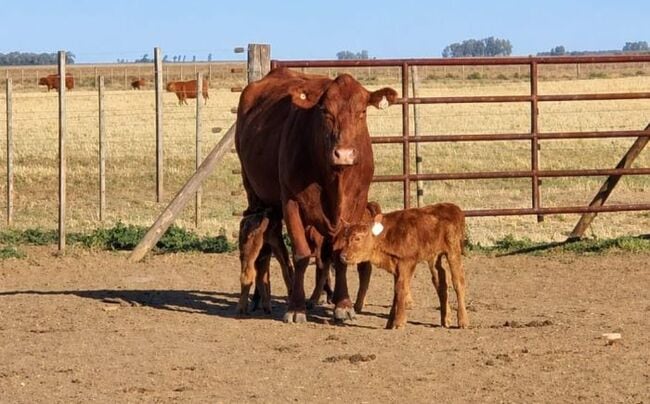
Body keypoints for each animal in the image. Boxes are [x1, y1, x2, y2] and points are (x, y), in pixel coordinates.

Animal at [236, 67, 397, 323]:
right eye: (325, 112)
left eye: (362, 111)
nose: (343, 154)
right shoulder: (291, 202)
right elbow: (301, 255)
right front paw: (296, 307)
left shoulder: (355, 205)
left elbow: (338, 255)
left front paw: (343, 305)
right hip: (255, 195)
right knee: (263, 250)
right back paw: (258, 300)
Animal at [340, 203, 469, 330]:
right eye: (345, 238)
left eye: (357, 238)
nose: (343, 256)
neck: (387, 235)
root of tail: (454, 208)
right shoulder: (396, 267)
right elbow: (396, 291)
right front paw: (390, 323)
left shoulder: (406, 263)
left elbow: (401, 287)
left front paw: (399, 322)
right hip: (434, 257)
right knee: (440, 282)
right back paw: (445, 320)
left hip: (453, 252)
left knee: (458, 282)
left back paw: (463, 321)